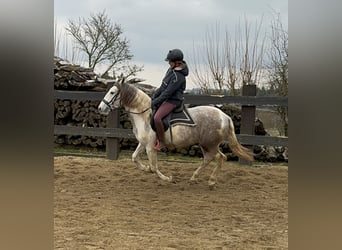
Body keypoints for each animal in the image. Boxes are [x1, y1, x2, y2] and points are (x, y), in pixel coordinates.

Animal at [97, 79, 252, 187]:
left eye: (112, 92)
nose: (100, 108)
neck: (144, 115)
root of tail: (225, 116)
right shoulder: (143, 143)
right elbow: (135, 158)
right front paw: (145, 168)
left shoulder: (150, 147)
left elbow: (154, 167)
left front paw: (167, 178)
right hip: (206, 145)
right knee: (209, 159)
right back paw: (194, 178)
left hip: (210, 144)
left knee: (220, 158)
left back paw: (211, 181)